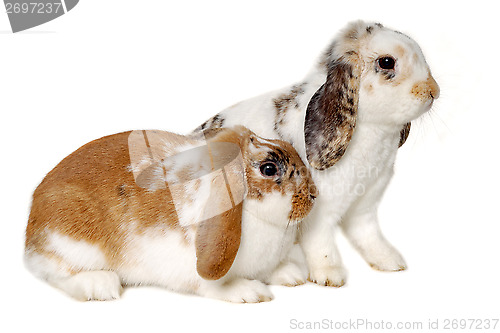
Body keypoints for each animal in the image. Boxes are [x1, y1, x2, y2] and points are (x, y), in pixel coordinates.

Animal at [24, 126, 316, 302]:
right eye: (268, 168)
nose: (314, 194)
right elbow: (214, 286)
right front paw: (250, 292)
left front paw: (291, 275)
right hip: (71, 242)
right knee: (56, 272)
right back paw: (101, 285)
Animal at [197, 20, 440, 286]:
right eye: (387, 62)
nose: (433, 91)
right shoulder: (320, 212)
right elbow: (320, 243)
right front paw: (329, 274)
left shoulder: (365, 205)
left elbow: (368, 234)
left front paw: (390, 261)